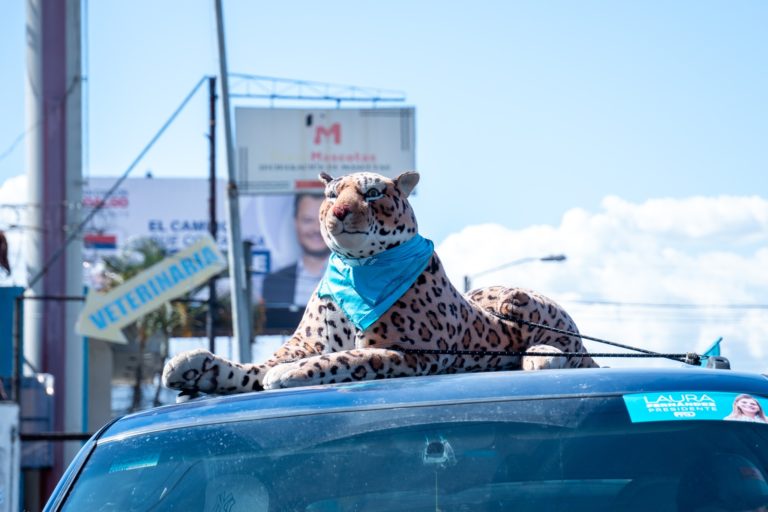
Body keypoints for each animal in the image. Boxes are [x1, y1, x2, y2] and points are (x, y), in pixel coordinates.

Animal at [162, 171, 597, 395]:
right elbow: (254, 367)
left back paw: (540, 351)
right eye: (331, 194)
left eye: (372, 193)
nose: (338, 212)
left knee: (572, 348)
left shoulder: (407, 353)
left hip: (525, 306)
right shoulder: (305, 342)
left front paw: (290, 373)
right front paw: (197, 367)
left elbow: (345, 359)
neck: (358, 268)